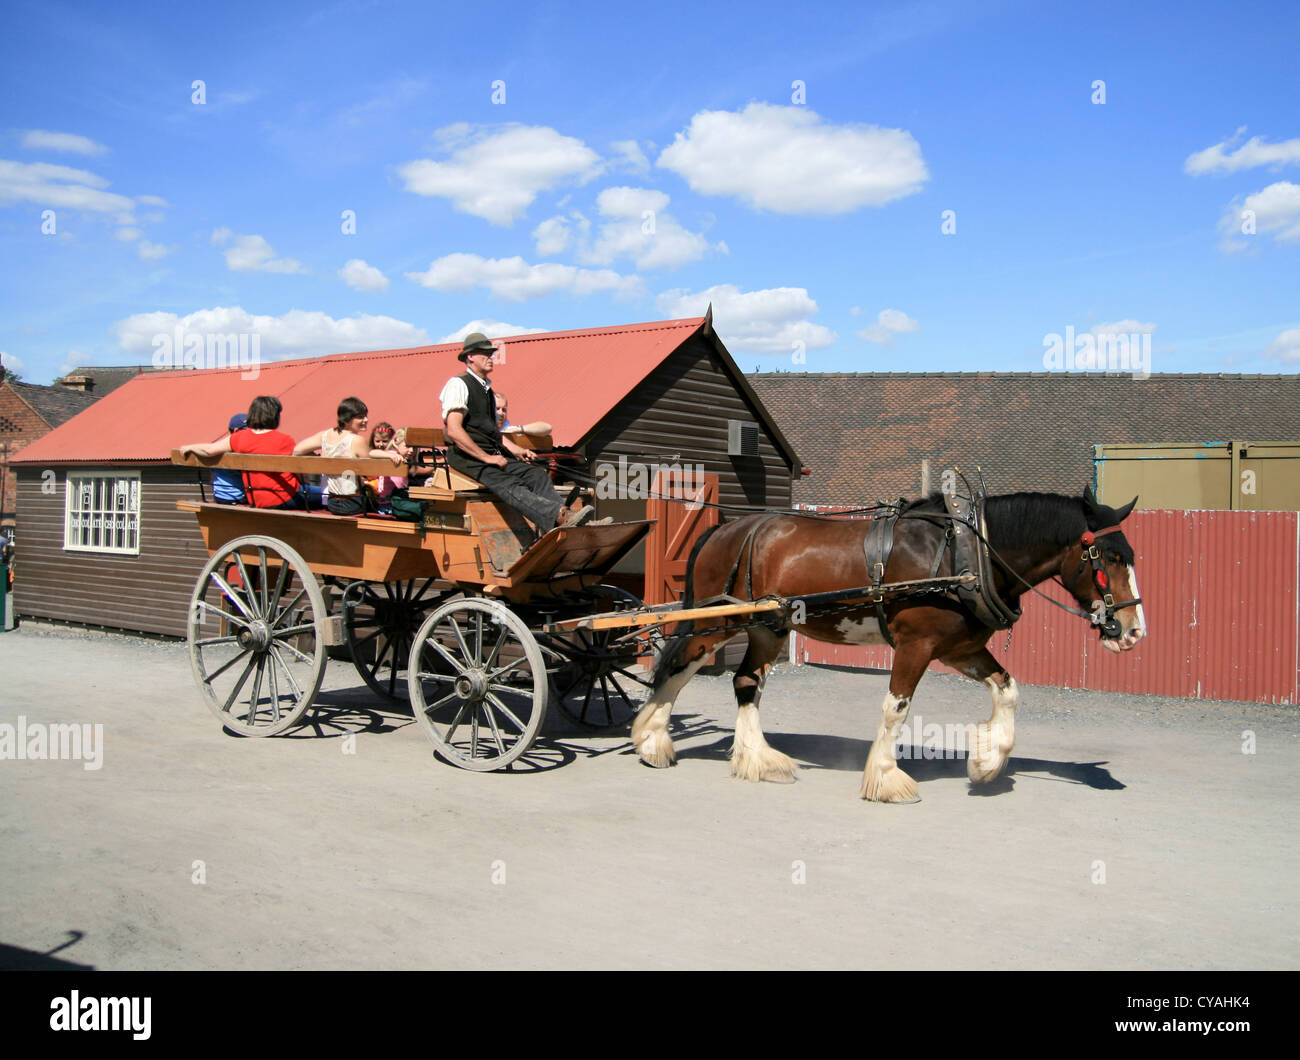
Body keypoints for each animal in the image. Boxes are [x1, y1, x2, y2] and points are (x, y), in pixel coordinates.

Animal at [630, 486, 1146, 802]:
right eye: (1110, 556)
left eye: (1131, 554)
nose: (1134, 630)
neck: (964, 557)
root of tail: (726, 528)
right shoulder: (917, 645)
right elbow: (895, 709)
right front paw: (886, 778)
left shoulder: (959, 648)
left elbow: (1008, 690)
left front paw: (986, 763)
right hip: (717, 623)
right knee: (678, 670)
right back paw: (652, 741)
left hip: (767, 628)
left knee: (745, 681)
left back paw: (757, 759)